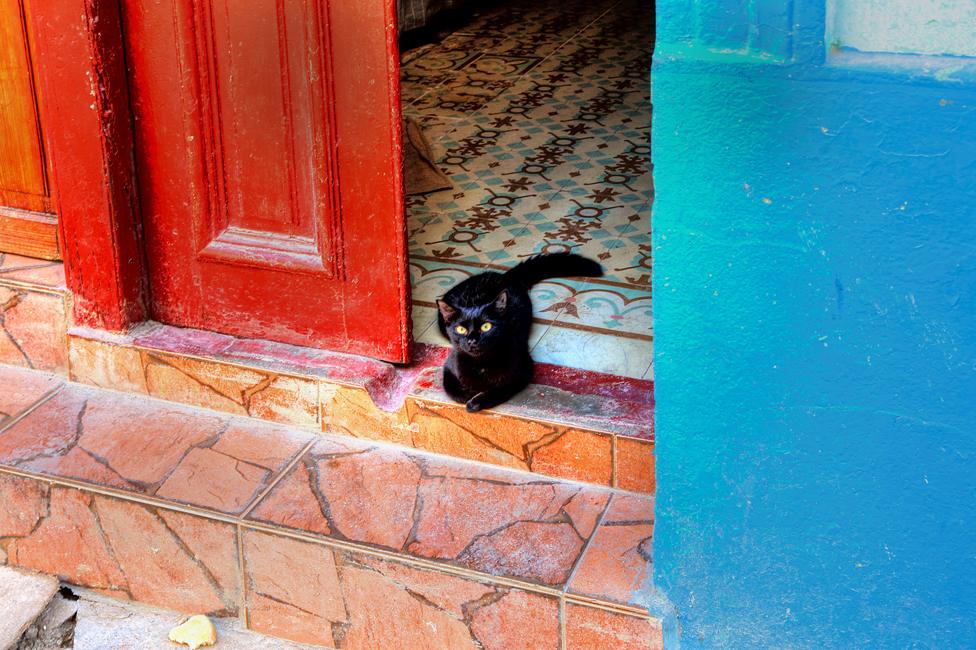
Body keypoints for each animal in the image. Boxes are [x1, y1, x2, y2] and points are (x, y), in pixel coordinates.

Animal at [436, 252, 604, 410]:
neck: (482, 363)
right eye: (461, 329)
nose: (472, 340)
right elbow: (452, 389)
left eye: (486, 327)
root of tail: (504, 276)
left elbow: (501, 390)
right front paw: (469, 394)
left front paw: (476, 402)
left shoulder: (523, 370)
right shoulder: (449, 367)